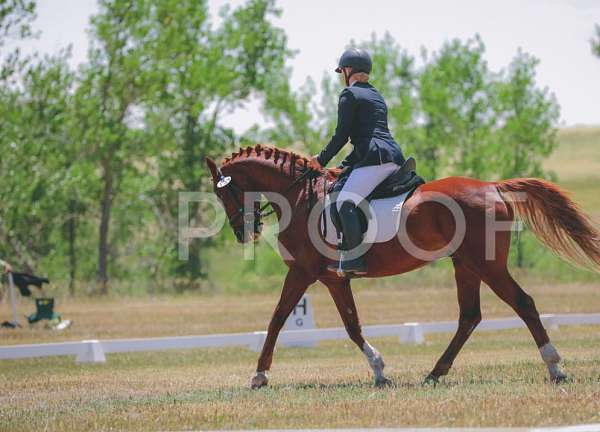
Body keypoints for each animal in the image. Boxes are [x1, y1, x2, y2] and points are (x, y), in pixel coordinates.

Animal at [206, 144, 600, 388]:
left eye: (223, 191)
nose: (243, 232)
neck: (299, 197)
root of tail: (493, 186)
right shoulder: (333, 279)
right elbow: (351, 325)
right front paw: (380, 372)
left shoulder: (302, 272)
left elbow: (276, 319)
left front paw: (259, 375)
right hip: (465, 265)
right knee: (469, 316)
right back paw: (435, 373)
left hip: (487, 265)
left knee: (523, 304)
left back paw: (555, 367)